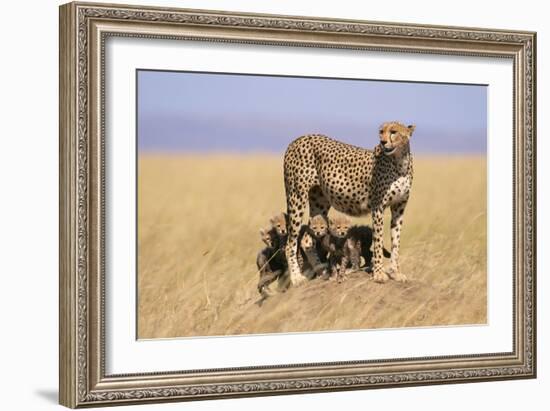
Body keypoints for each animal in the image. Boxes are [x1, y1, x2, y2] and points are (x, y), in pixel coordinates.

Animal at [284, 120, 418, 284]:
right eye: (381, 131)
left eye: (393, 131)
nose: (382, 142)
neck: (400, 162)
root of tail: (299, 138)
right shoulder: (378, 207)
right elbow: (378, 241)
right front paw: (379, 273)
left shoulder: (399, 208)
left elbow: (396, 241)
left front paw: (395, 273)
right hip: (296, 196)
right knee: (290, 243)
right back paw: (297, 278)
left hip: (319, 202)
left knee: (307, 240)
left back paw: (322, 271)